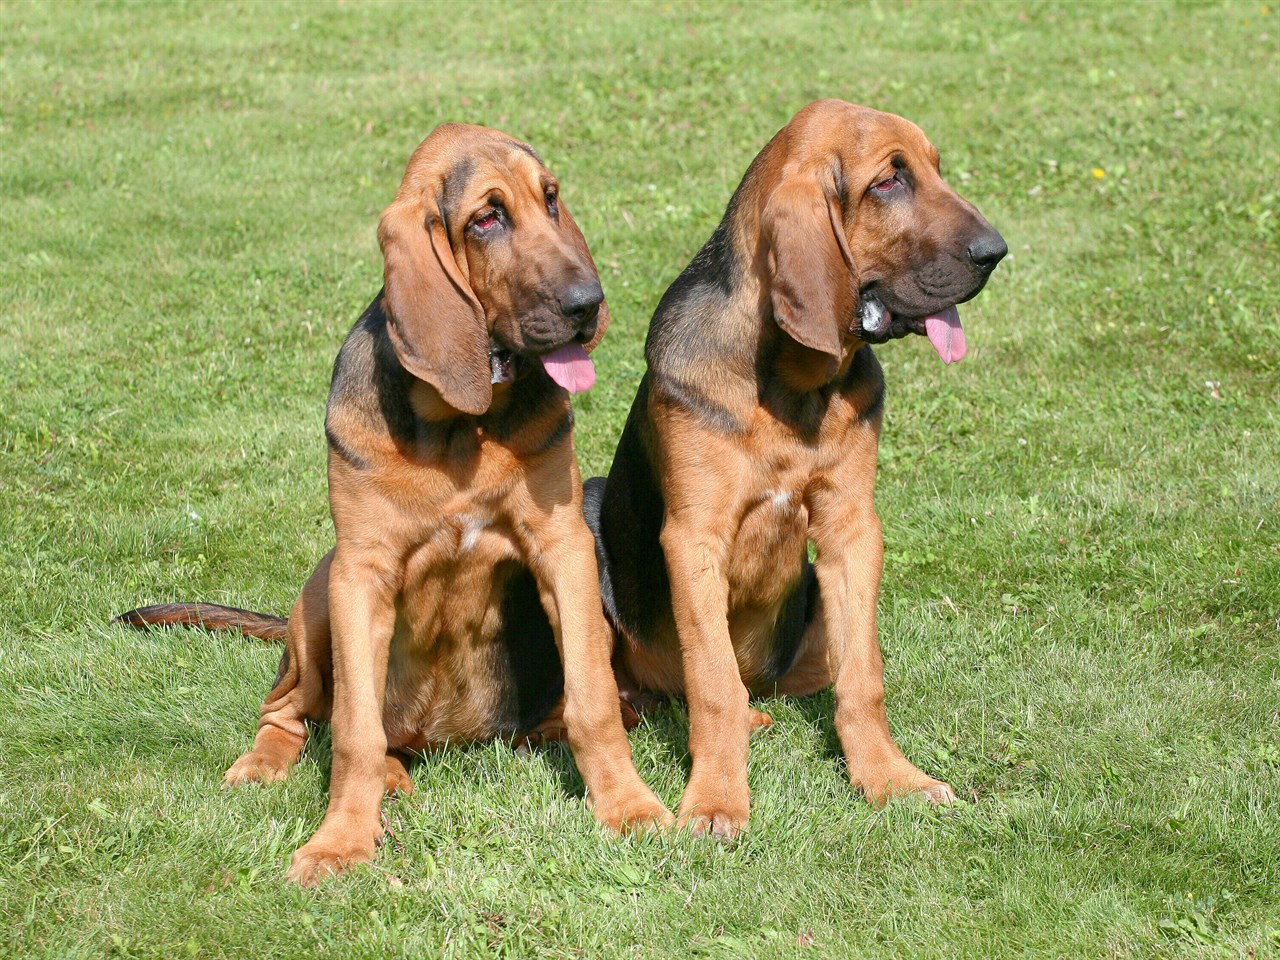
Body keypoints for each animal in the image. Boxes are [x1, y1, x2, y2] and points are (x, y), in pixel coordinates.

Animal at [117, 124, 670, 885]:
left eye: (551, 198)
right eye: (486, 219)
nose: (588, 304)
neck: (457, 427)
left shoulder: (562, 547)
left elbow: (594, 703)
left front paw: (628, 804)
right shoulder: (362, 572)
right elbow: (352, 733)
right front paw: (340, 841)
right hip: (319, 593)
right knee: (294, 712)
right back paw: (281, 767)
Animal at [586, 101, 1003, 839]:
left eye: (934, 169)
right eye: (888, 182)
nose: (996, 251)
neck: (789, 386)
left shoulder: (851, 528)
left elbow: (864, 678)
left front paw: (890, 779)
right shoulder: (694, 537)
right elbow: (714, 683)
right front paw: (716, 802)